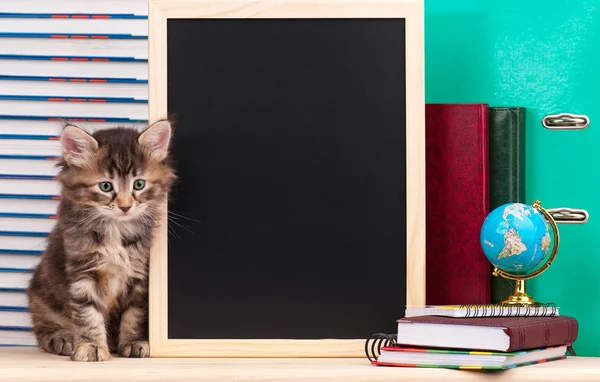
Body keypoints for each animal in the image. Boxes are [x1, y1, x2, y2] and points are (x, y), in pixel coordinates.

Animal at [26, 120, 176, 362]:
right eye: (105, 186)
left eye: (139, 184)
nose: (125, 206)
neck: (116, 230)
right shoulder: (83, 272)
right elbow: (88, 314)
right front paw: (91, 346)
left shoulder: (140, 277)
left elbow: (134, 315)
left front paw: (134, 342)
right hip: (41, 295)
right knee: (44, 329)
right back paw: (64, 338)